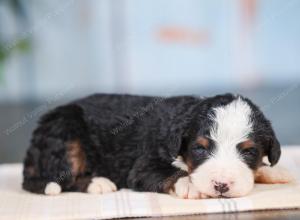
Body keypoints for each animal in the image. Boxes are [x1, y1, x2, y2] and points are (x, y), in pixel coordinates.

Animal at [23, 93, 292, 199]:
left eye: (249, 151)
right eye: (200, 149)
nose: (221, 185)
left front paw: (274, 171)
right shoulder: (143, 165)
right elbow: (168, 171)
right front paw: (190, 185)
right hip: (65, 130)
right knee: (62, 177)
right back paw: (97, 183)